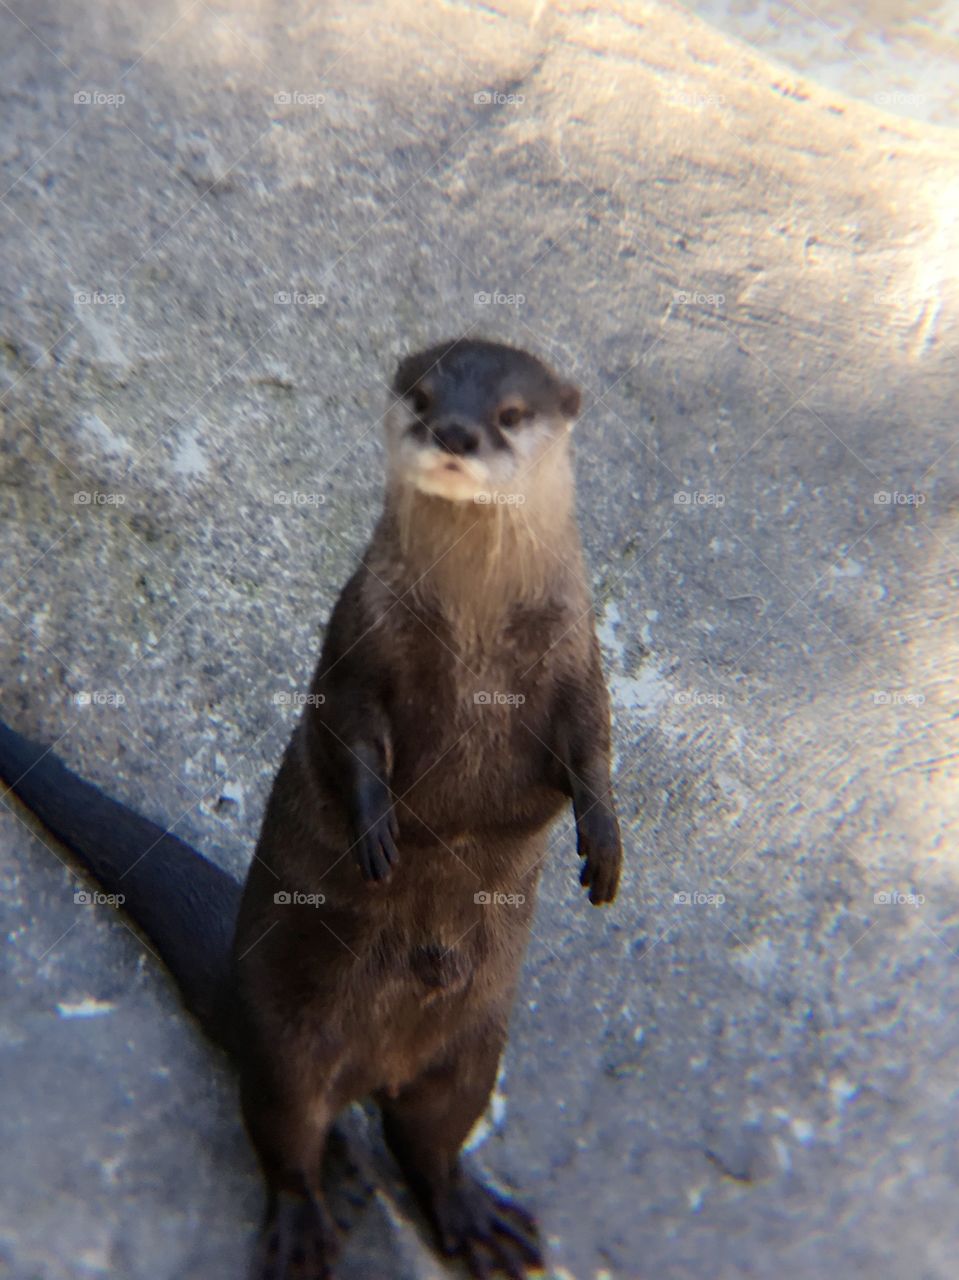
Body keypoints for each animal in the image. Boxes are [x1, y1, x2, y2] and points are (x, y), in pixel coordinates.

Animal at [0, 335, 622, 1274]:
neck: (474, 632)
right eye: (422, 395)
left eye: (511, 414)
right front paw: (377, 829)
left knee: (430, 1140)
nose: (455, 431)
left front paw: (606, 849)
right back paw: (308, 1223)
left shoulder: (576, 652)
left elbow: (592, 749)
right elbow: (351, 734)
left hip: (474, 1049)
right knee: (287, 1135)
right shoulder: (358, 639)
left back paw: (475, 1217)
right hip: (287, 1043)